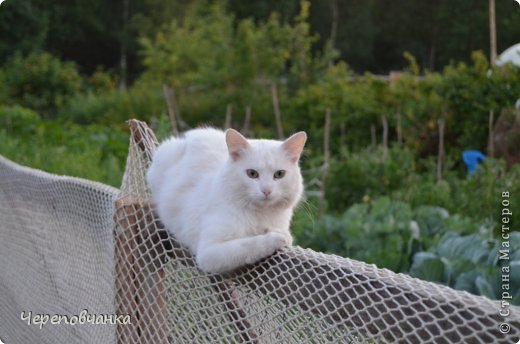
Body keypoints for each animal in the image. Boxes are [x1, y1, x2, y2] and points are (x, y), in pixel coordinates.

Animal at [145, 128, 304, 274]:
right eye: (252, 174)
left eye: (279, 174)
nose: (266, 190)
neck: (260, 214)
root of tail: (188, 136)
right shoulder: (209, 253)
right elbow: (248, 244)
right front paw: (276, 238)